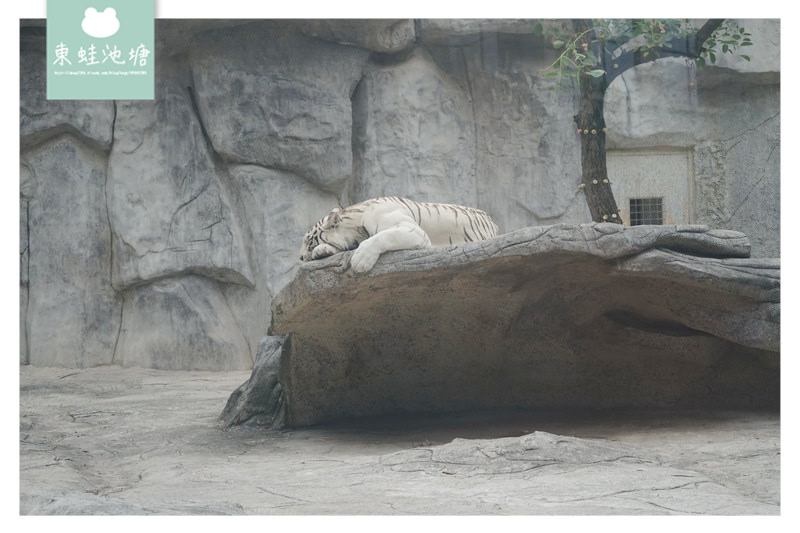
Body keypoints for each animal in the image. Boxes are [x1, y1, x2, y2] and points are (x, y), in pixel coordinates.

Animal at [300, 196, 500, 272]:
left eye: (308, 241)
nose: (301, 258)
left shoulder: (413, 230)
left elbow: (381, 237)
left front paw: (360, 262)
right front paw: (322, 251)